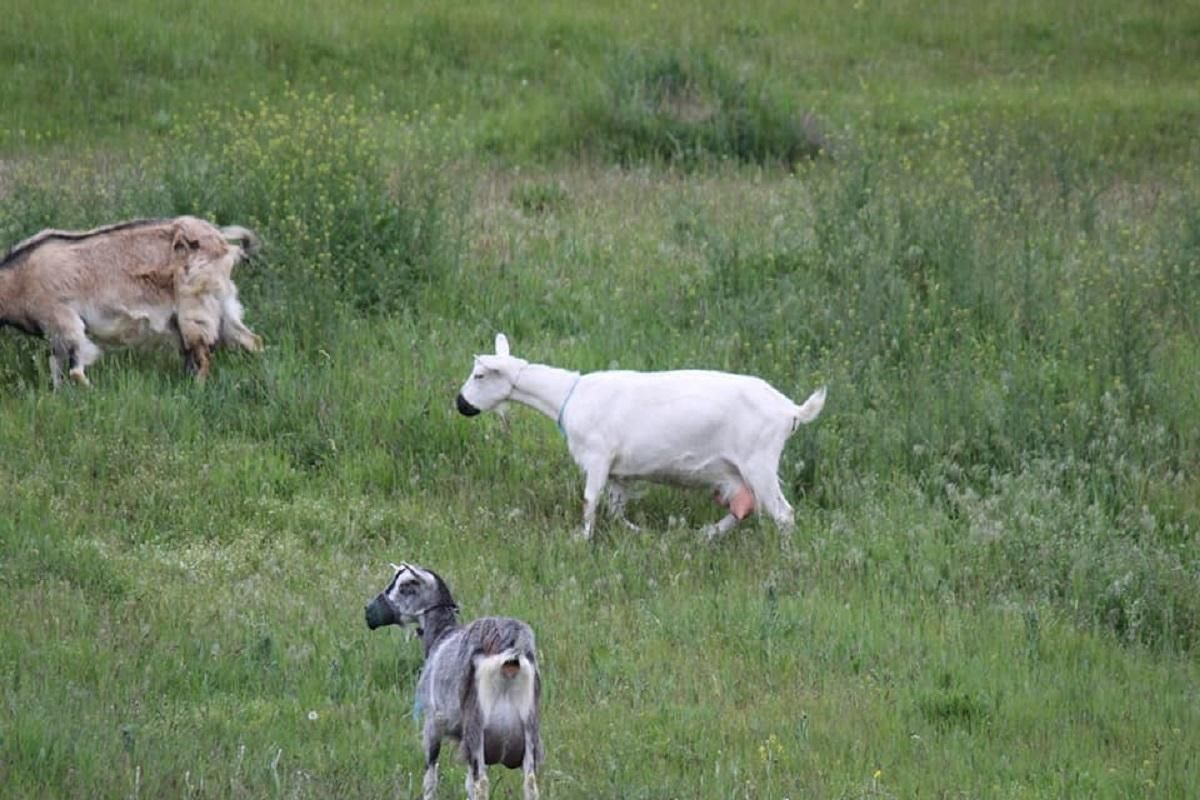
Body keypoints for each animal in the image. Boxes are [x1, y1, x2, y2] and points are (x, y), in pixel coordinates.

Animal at [0, 214, 264, 386]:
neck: (19, 278)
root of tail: (222, 242)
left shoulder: (63, 320)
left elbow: (75, 369)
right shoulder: (54, 334)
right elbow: (56, 368)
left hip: (195, 307)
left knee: (201, 354)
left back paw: (197, 387)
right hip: (221, 303)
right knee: (250, 339)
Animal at [360, 563, 540, 800]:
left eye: (406, 585)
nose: (369, 612)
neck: (441, 635)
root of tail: (511, 654)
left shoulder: (432, 722)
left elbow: (431, 777)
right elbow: (468, 784)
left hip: (477, 726)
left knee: (482, 783)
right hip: (529, 730)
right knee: (530, 783)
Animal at [456, 331, 825, 537]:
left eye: (479, 375)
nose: (460, 404)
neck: (567, 395)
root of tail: (790, 410)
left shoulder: (598, 457)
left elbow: (590, 501)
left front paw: (582, 539)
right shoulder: (619, 472)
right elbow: (615, 509)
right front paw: (636, 532)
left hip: (759, 461)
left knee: (783, 514)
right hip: (736, 471)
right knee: (746, 506)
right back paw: (706, 535)